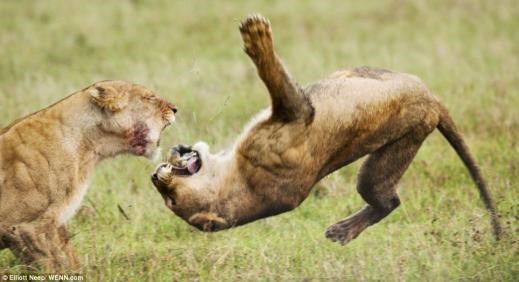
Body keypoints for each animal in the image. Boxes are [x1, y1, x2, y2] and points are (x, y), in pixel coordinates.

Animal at [0, 80, 177, 270]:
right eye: (149, 97)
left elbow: (69, 259)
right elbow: (52, 266)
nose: (175, 109)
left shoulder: (54, 224)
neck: (88, 149)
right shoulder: (23, 227)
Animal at [151, 15, 500, 243]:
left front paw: (255, 33)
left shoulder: (296, 111)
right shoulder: (296, 114)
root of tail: (433, 101)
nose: (155, 175)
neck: (232, 177)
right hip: (385, 161)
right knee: (388, 201)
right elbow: (276, 77)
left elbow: (276, 77)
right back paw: (342, 232)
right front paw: (256, 34)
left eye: (168, 200)